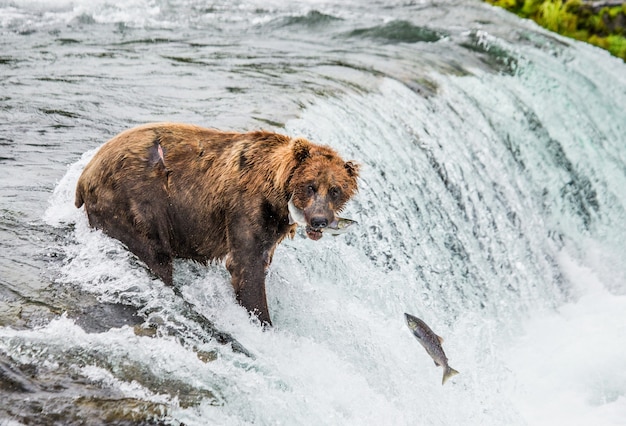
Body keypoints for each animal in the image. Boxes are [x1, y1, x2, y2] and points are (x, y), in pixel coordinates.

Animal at [75, 123, 358, 326]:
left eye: (335, 190)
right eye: (310, 185)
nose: (319, 220)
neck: (276, 195)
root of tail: (85, 174)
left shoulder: (273, 227)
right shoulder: (245, 207)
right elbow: (246, 266)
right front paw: (262, 320)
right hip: (137, 202)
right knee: (155, 255)